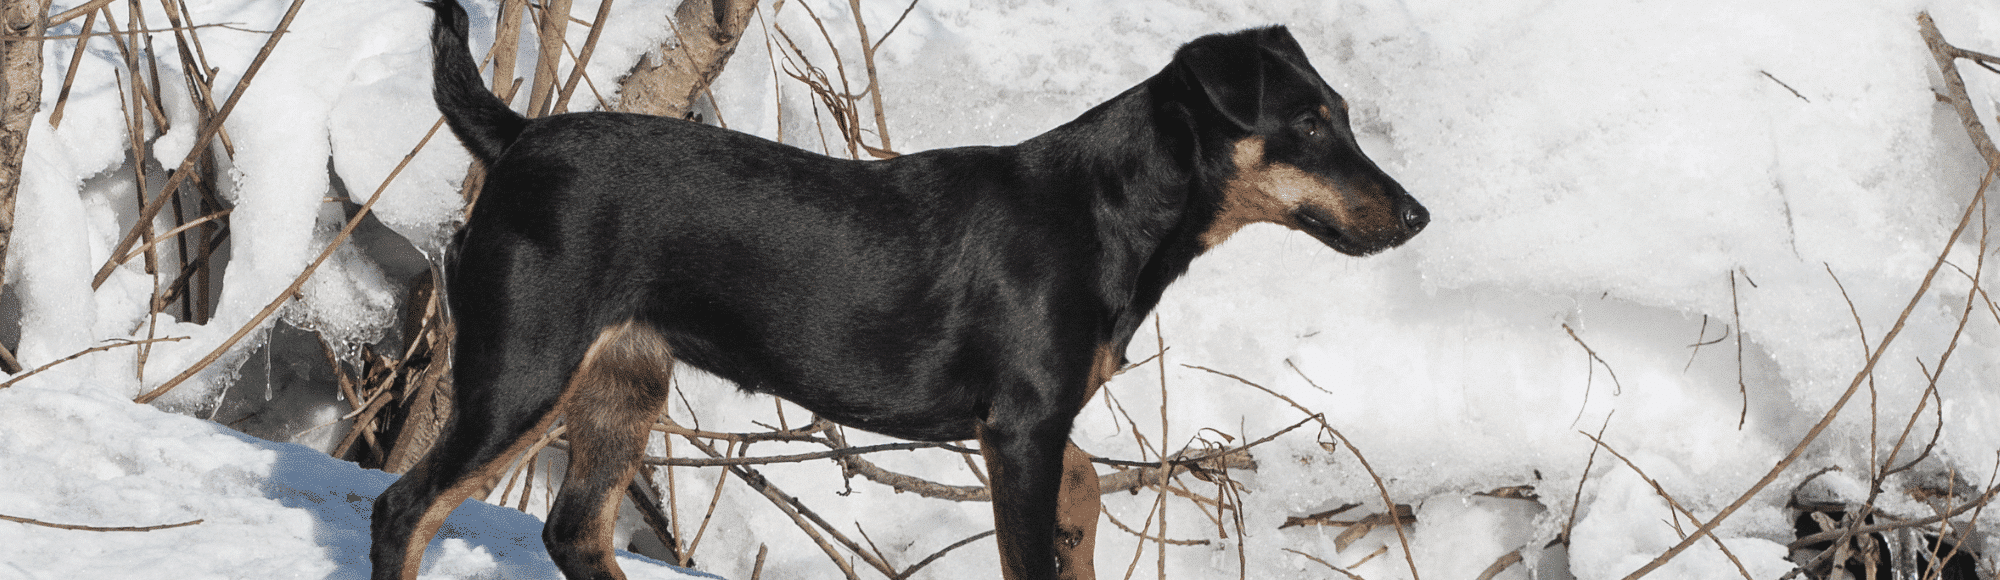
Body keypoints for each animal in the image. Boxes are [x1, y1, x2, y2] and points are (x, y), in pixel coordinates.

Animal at [376, 2, 1432, 576]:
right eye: (1310, 124)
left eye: (1342, 115)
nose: (1418, 215)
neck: (1107, 208)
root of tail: (515, 136)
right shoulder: (1021, 423)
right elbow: (1026, 553)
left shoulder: (1033, 423)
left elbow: (1084, 493)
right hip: (523, 367)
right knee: (405, 510)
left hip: (624, 375)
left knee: (575, 534)